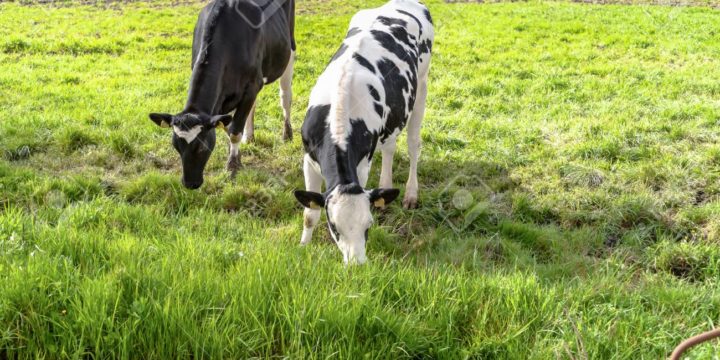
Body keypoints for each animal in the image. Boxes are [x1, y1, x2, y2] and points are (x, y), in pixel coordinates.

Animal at [149, 0, 296, 190]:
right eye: (176, 145)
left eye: (202, 147)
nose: (190, 183)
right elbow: (229, 127)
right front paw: (237, 156)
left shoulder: (252, 85)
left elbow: (234, 131)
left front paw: (232, 166)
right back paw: (250, 137)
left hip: (289, 50)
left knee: (285, 96)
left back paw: (287, 134)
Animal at [292, 0, 434, 264]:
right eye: (334, 227)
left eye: (368, 226)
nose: (356, 264)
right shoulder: (309, 159)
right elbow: (309, 214)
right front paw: (303, 246)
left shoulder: (362, 165)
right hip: (393, 116)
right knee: (389, 147)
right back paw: (386, 187)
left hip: (421, 85)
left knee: (413, 145)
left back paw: (410, 194)